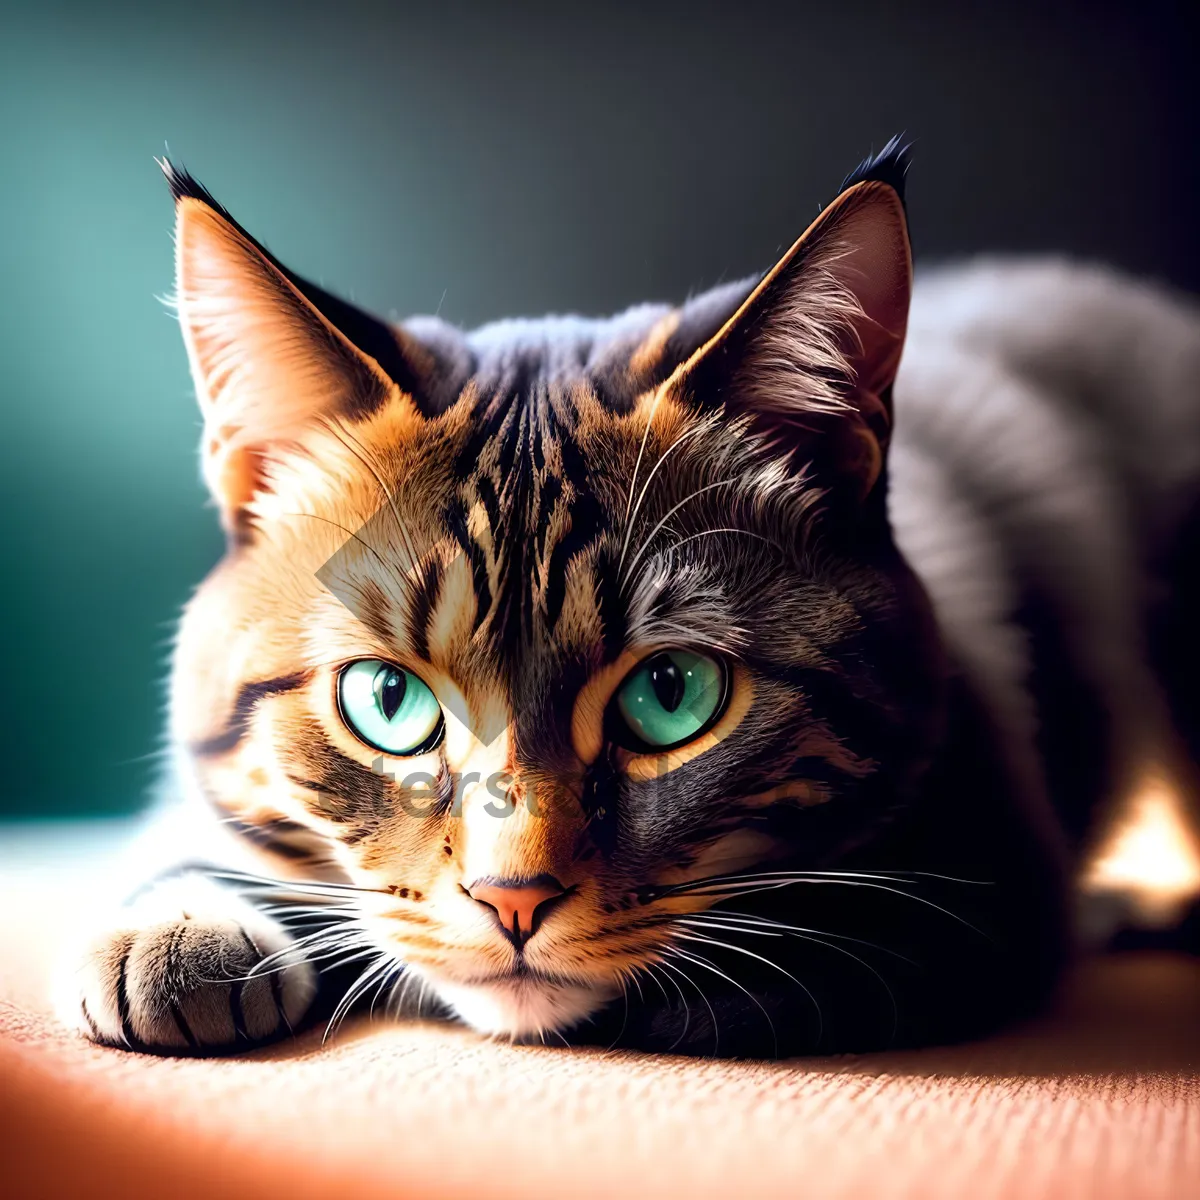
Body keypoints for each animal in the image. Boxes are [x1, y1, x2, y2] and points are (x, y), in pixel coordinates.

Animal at [56, 140, 1200, 1056]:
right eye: (387, 701)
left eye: (671, 693)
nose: (512, 898)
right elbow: (194, 836)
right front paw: (177, 929)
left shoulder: (971, 886)